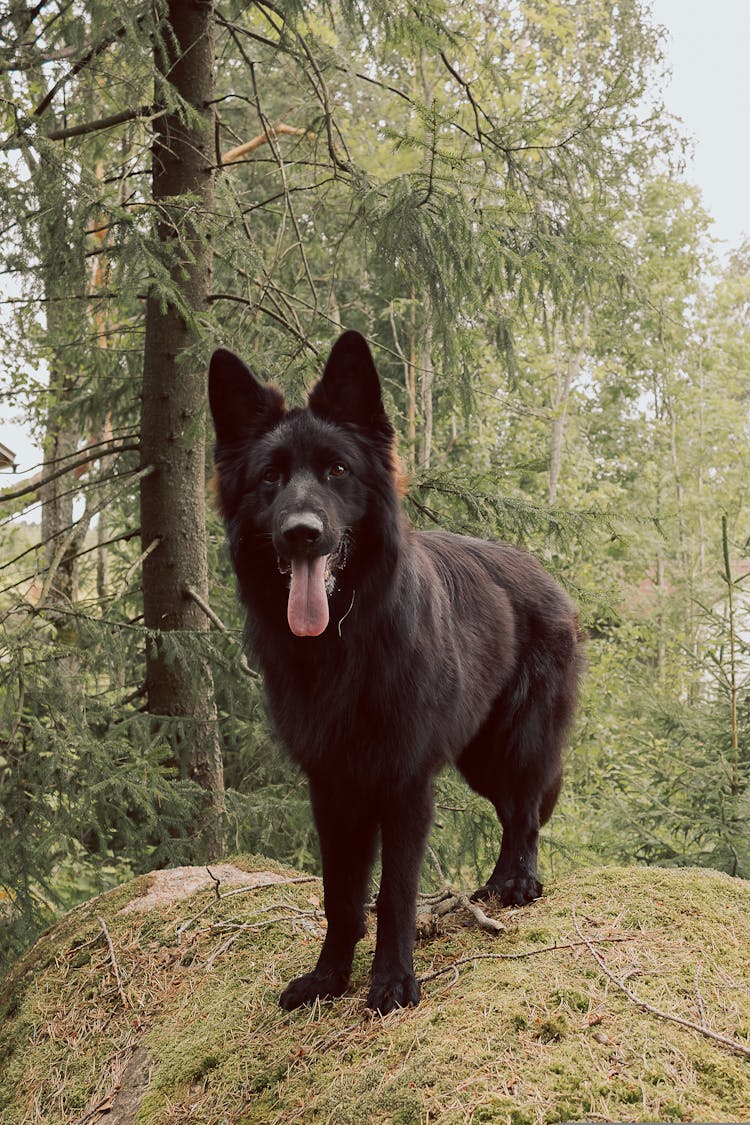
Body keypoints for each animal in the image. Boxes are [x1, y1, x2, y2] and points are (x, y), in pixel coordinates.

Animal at [208, 328, 584, 1017]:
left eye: (337, 470)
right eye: (271, 479)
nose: (302, 534)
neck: (342, 644)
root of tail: (543, 573)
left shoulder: (405, 783)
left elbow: (397, 892)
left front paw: (391, 981)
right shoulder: (332, 785)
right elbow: (341, 893)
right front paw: (329, 977)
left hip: (516, 742)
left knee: (523, 810)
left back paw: (518, 881)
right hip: (478, 758)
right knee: (511, 811)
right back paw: (495, 883)